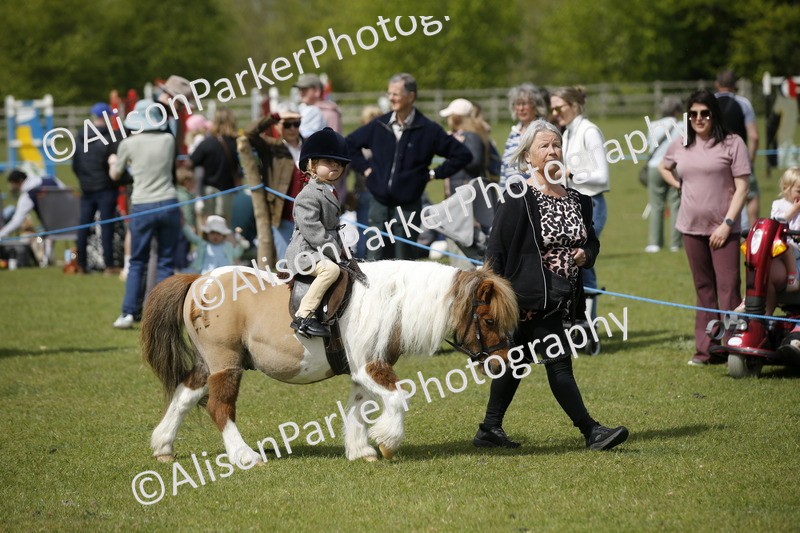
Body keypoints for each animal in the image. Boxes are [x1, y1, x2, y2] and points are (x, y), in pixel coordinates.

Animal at [140, 259, 518, 463]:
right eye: (488, 320)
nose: (502, 363)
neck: (392, 300)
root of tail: (198, 280)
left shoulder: (363, 369)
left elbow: (359, 407)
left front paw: (360, 449)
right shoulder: (370, 367)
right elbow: (398, 398)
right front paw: (387, 441)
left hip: (209, 365)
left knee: (185, 395)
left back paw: (163, 446)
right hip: (226, 363)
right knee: (219, 407)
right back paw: (244, 456)